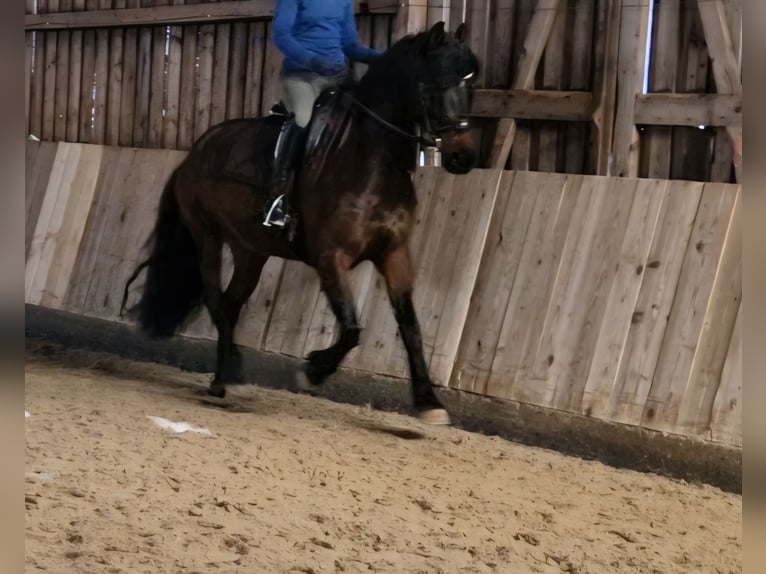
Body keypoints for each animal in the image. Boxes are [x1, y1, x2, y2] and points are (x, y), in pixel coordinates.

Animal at [122, 21, 481, 425]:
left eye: (472, 83)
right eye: (435, 83)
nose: (463, 157)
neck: (372, 161)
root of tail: (194, 153)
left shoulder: (395, 253)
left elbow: (411, 328)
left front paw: (428, 402)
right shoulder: (330, 257)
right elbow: (352, 328)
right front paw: (313, 370)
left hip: (251, 250)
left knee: (229, 304)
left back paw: (223, 378)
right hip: (208, 237)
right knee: (215, 298)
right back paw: (232, 373)